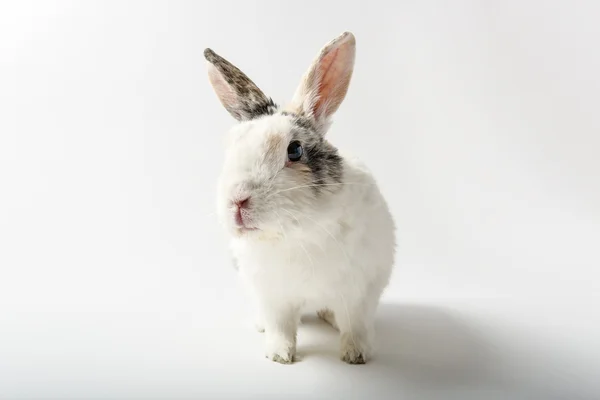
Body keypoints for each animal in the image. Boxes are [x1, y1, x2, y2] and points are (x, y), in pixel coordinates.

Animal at [204, 31, 396, 364]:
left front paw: (356, 355)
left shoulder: (360, 292)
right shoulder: (273, 296)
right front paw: (279, 355)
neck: (297, 232)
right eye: (231, 147)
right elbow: (281, 326)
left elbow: (355, 325)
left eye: (294, 150)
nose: (237, 201)